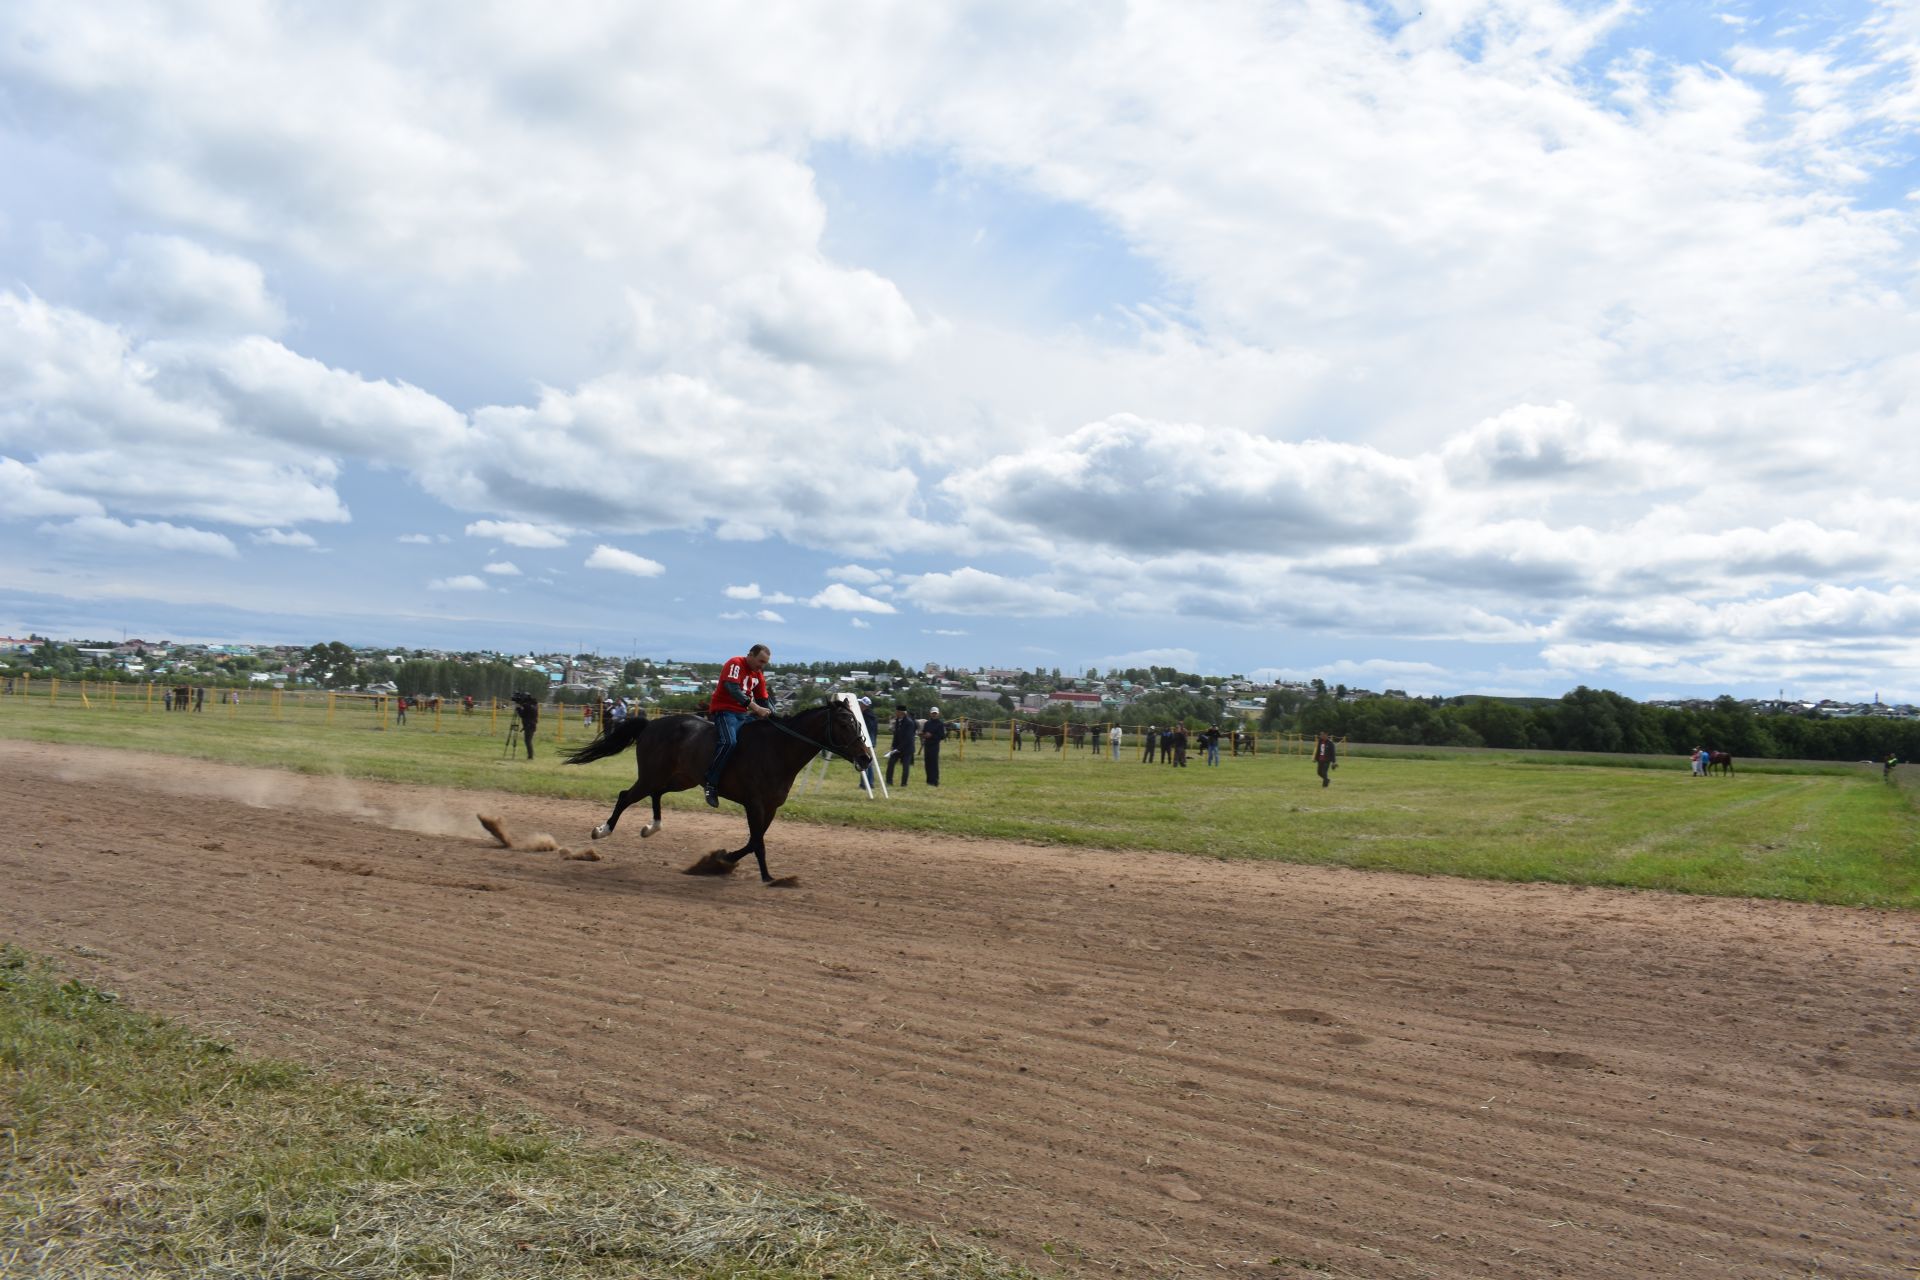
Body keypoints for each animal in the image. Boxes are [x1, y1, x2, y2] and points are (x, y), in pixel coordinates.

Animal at [560, 694, 879, 886]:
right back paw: (602, 830)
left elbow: (753, 841)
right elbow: (757, 842)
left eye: (857, 722)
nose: (865, 758)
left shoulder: (770, 807)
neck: (778, 749)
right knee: (626, 796)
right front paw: (767, 877)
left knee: (656, 794)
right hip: (652, 775)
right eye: (844, 722)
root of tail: (651, 724)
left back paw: (652, 827)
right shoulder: (754, 804)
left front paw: (721, 860)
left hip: (681, 779)